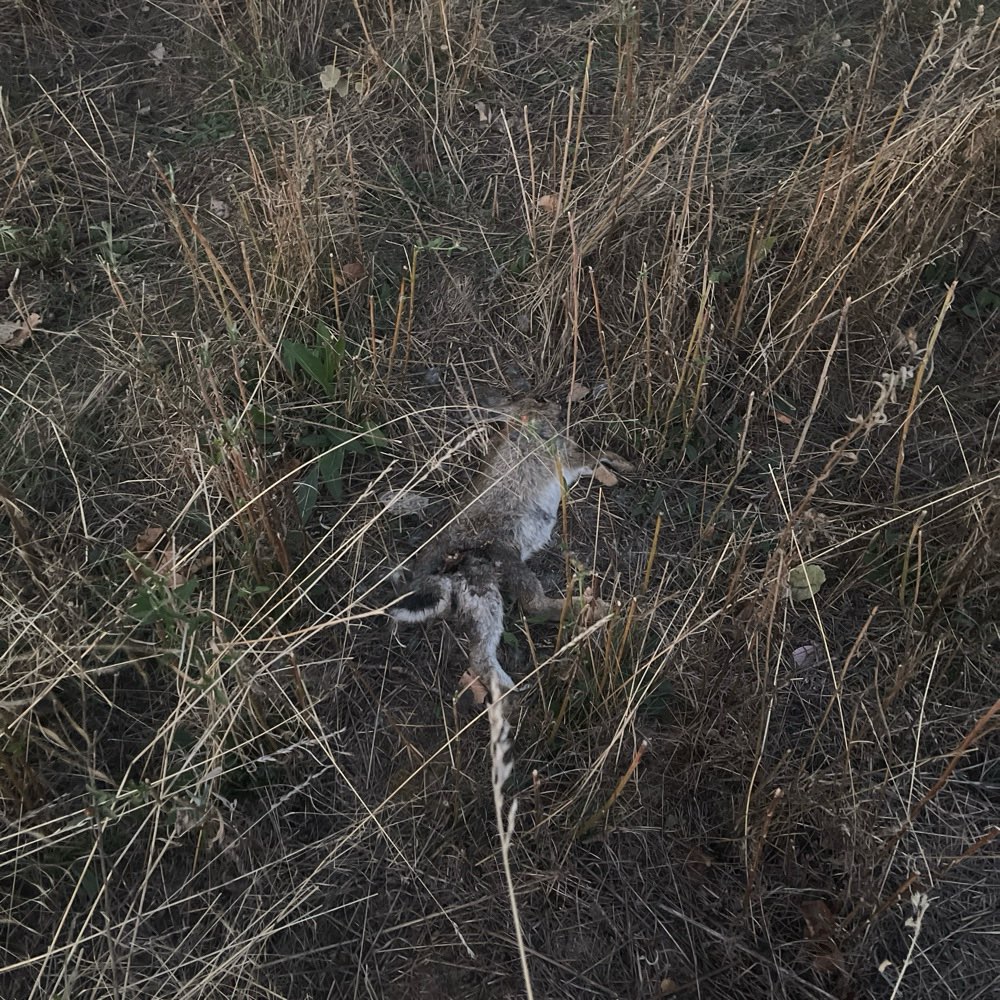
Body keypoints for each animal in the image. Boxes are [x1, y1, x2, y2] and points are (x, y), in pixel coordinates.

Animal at [390, 398, 632, 695]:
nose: (556, 408)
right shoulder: (565, 457)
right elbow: (591, 456)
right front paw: (624, 465)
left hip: (479, 587)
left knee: (480, 652)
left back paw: (506, 689)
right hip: (504, 561)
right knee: (534, 606)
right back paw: (597, 608)